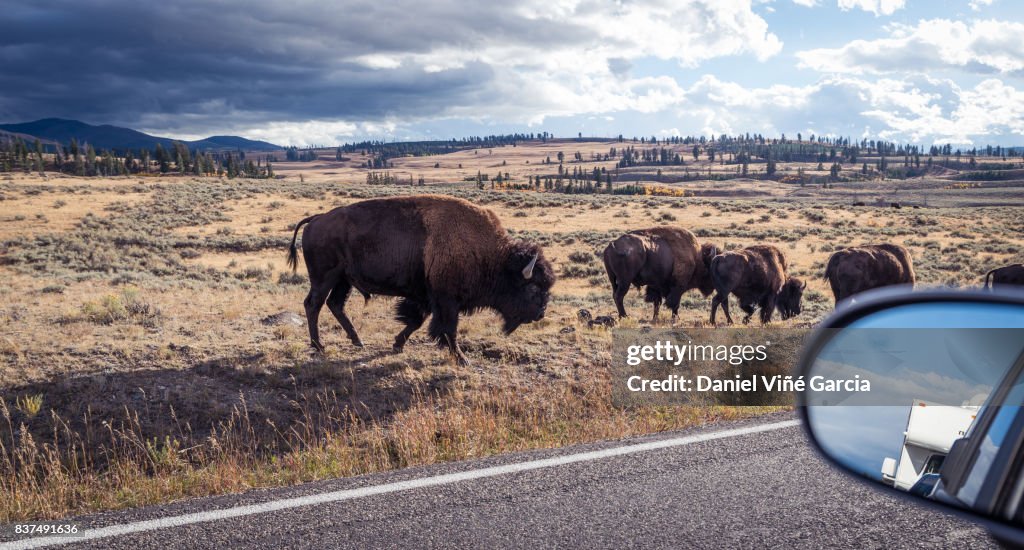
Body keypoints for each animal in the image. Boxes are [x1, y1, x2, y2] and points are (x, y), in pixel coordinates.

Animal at [284, 193, 557, 364]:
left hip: (344, 280)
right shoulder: (447, 301)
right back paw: (319, 346)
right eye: (533, 288)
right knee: (314, 304)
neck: (491, 255)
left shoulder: (425, 297)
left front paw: (397, 345)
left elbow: (416, 321)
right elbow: (448, 329)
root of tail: (316, 219)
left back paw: (357, 341)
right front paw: (462, 359)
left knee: (335, 304)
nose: (540, 313)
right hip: (324, 278)